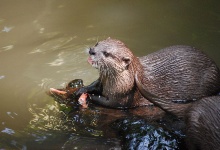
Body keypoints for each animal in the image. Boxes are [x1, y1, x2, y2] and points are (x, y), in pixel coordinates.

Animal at [75, 37, 220, 117]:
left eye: (106, 53)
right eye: (97, 44)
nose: (92, 51)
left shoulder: (123, 96)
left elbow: (109, 103)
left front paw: (91, 97)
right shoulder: (102, 81)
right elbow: (95, 84)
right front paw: (82, 89)